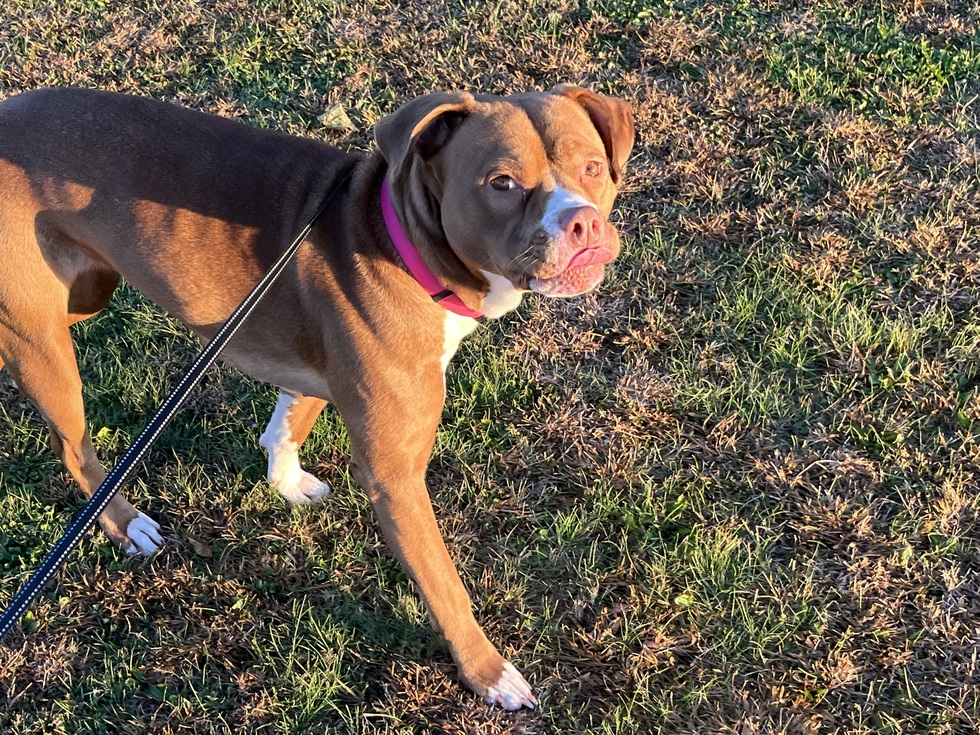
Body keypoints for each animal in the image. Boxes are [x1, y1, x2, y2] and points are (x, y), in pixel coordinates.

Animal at [0, 85, 633, 709]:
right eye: (501, 182)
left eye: (593, 168)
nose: (582, 223)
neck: (402, 242)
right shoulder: (396, 476)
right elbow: (445, 585)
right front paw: (488, 672)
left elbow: (289, 421)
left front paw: (286, 481)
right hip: (43, 336)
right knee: (73, 447)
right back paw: (126, 524)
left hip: (85, 293)